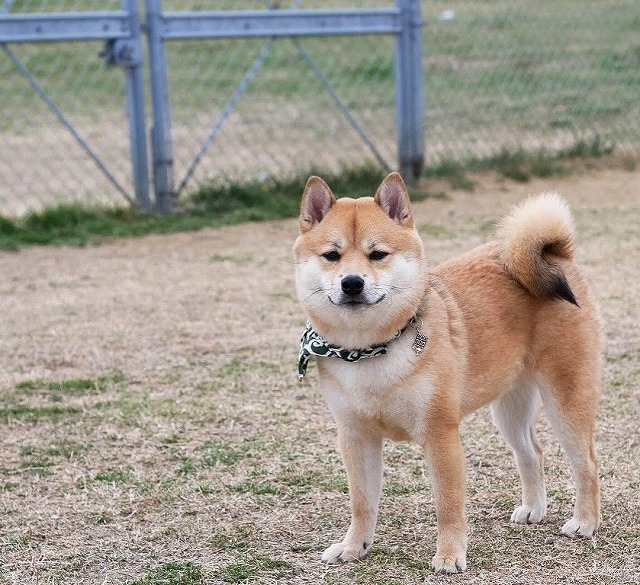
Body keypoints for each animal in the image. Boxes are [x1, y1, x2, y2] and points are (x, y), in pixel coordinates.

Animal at [292, 171, 604, 572]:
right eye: (332, 255)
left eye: (378, 254)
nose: (352, 282)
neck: (370, 350)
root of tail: (556, 255)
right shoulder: (355, 437)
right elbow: (361, 503)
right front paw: (353, 546)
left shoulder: (440, 434)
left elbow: (448, 505)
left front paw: (450, 555)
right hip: (509, 409)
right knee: (532, 453)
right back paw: (534, 509)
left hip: (565, 402)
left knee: (587, 464)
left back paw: (585, 522)